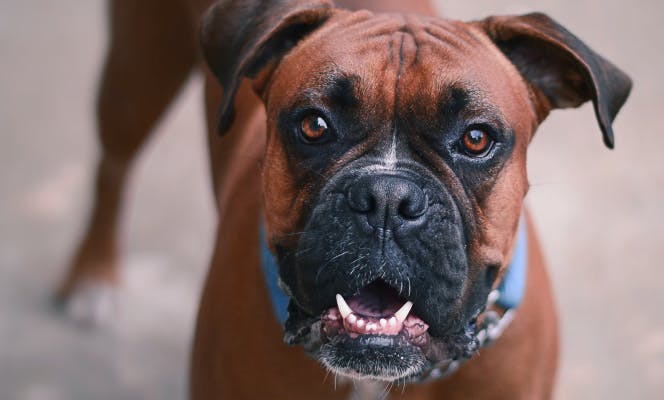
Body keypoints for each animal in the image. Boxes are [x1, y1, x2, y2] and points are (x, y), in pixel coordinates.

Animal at [55, 0, 628, 396]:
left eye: (475, 138)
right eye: (314, 125)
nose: (387, 199)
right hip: (135, 78)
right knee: (112, 169)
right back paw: (91, 276)